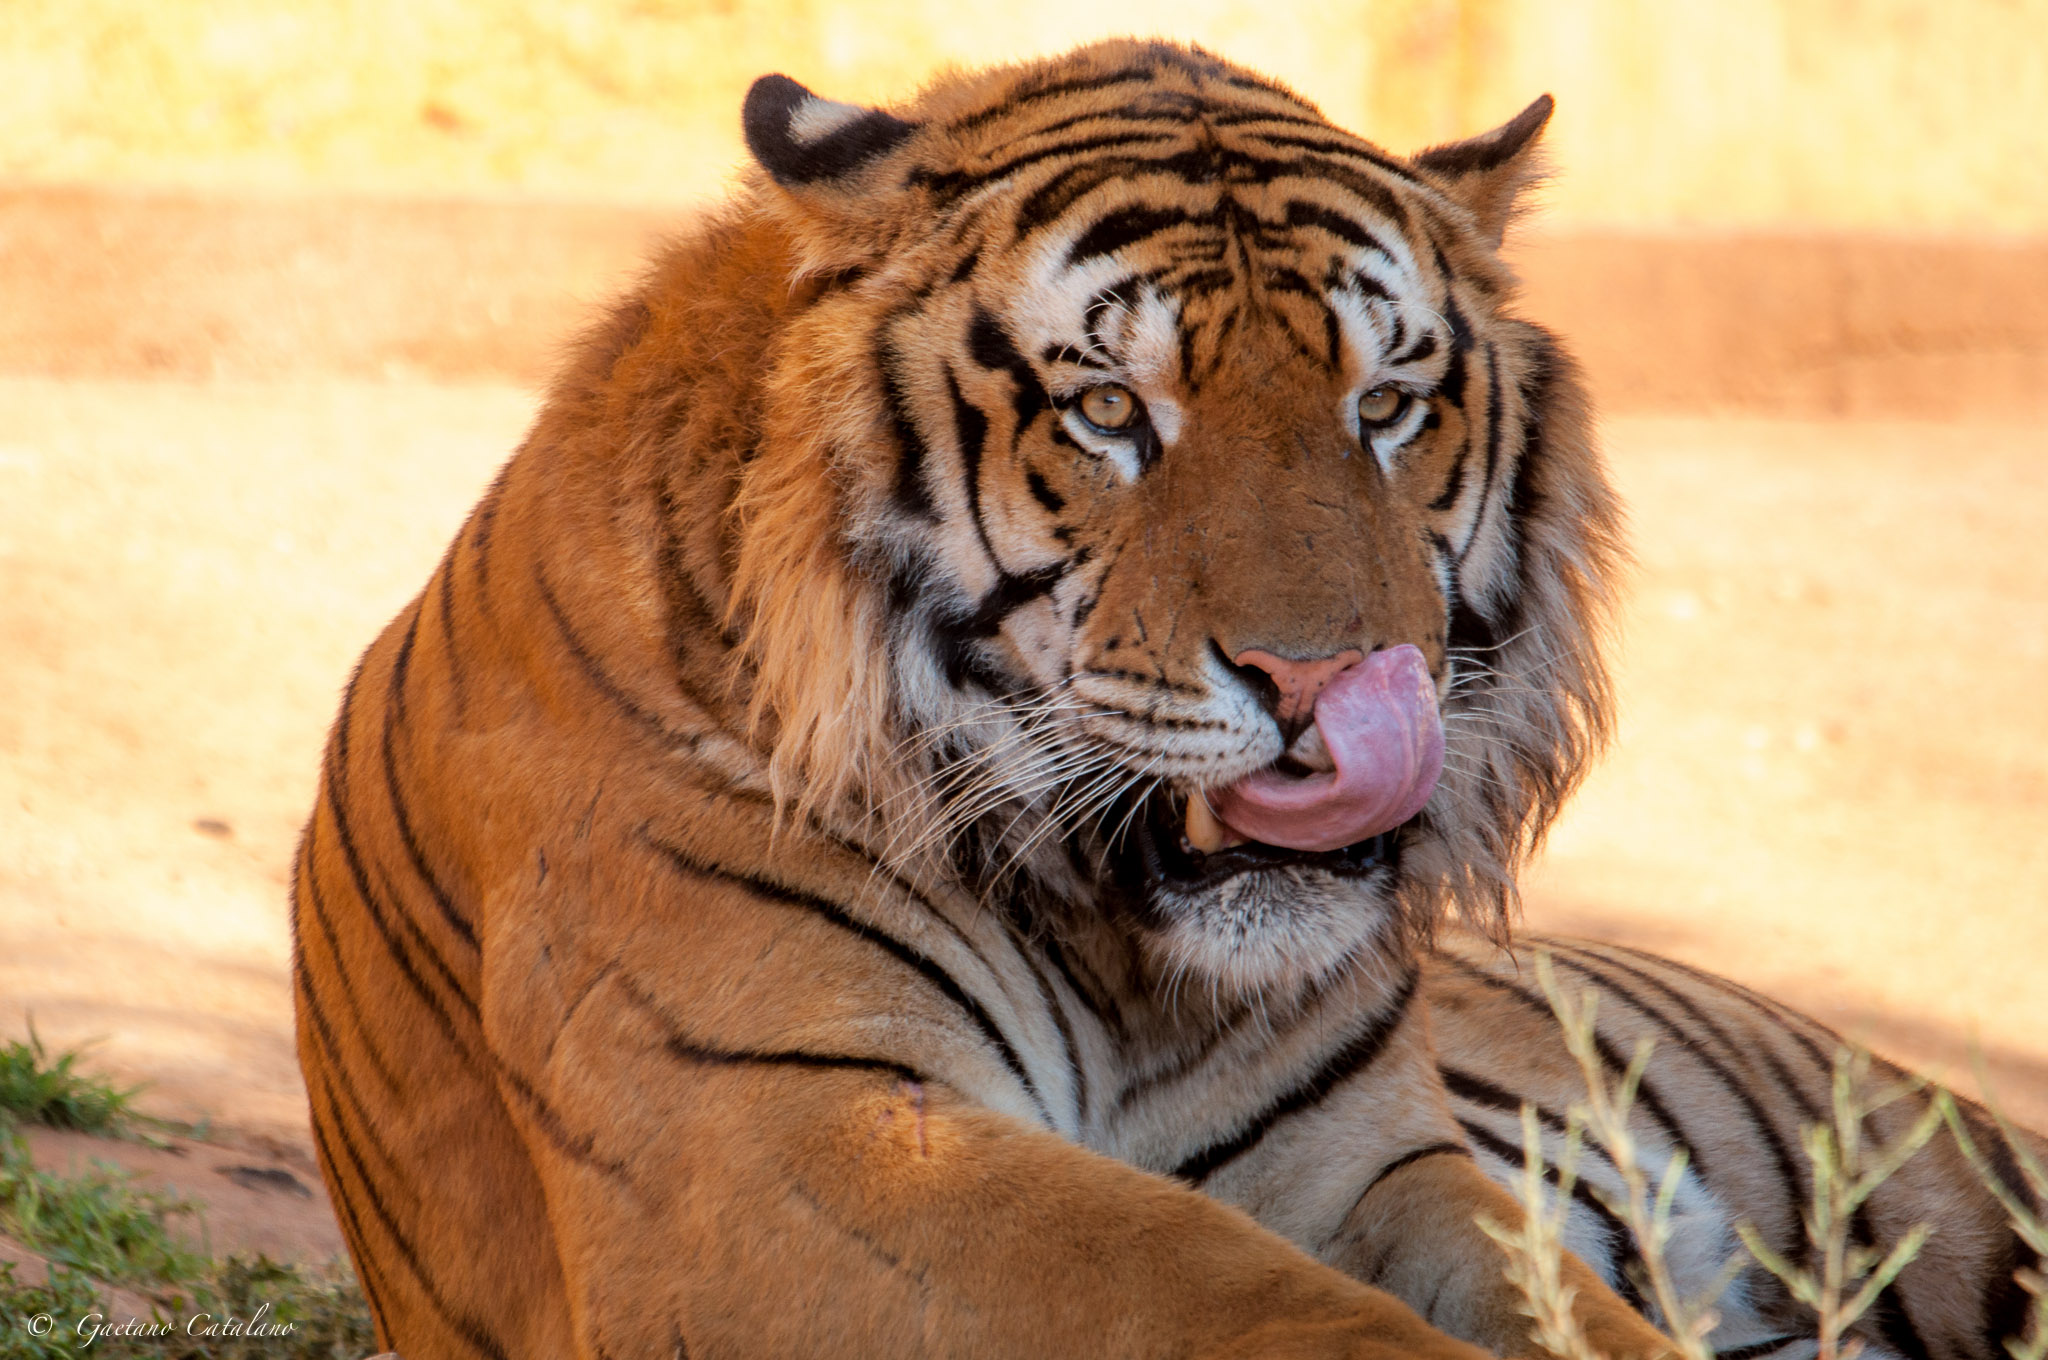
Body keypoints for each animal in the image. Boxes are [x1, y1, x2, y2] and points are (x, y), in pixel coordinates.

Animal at [288, 38, 2039, 1360]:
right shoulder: (781, 1146)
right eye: (1112, 411)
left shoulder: (1372, 1159)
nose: (1328, 683)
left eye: (1384, 404)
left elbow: (1571, 1317)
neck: (1126, 960)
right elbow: (1262, 1307)